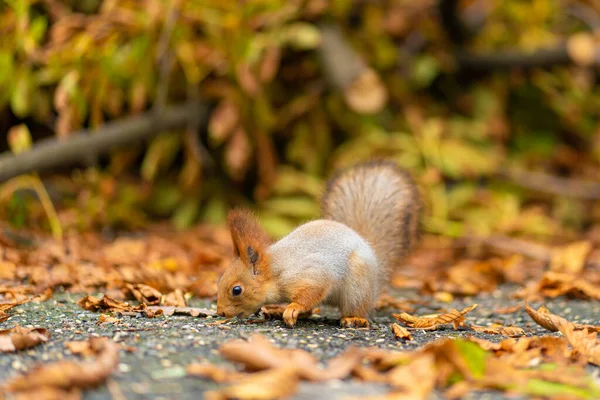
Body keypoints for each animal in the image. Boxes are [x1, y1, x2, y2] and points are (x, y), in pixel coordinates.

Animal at [214, 160, 418, 328]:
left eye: (237, 290)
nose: (220, 312)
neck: (276, 270)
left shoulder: (311, 274)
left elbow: (312, 291)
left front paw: (294, 307)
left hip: (358, 286)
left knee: (357, 307)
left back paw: (353, 319)